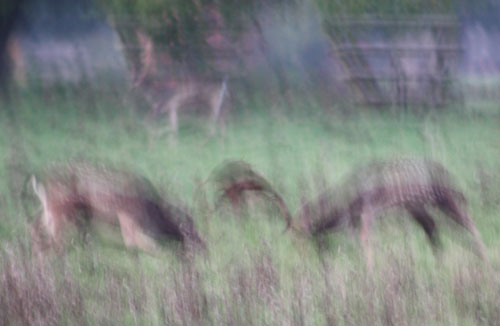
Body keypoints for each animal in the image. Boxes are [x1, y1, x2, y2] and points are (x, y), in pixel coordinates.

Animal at [24, 162, 205, 256]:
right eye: (189, 230)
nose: (204, 247)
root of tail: (38, 182)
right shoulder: (127, 216)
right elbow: (141, 245)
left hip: (50, 208)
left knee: (35, 227)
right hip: (59, 210)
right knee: (55, 241)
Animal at [212, 158, 488, 268]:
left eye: (297, 234)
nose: (297, 255)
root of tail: (449, 174)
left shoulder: (367, 212)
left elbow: (365, 244)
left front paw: (370, 272)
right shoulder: (354, 220)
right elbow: (355, 245)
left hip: (445, 200)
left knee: (469, 223)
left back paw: (484, 257)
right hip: (419, 207)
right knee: (434, 228)